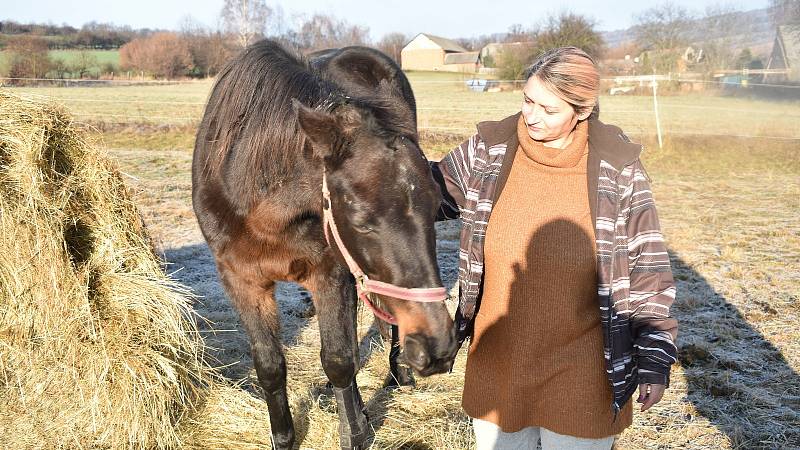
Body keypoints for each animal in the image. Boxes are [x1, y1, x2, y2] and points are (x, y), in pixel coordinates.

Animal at [190, 39, 460, 450]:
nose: (439, 348)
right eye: (361, 221)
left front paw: (356, 431)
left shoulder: (330, 274)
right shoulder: (241, 279)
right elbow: (270, 365)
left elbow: (339, 360)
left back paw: (397, 376)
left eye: (434, 211)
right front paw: (284, 438)